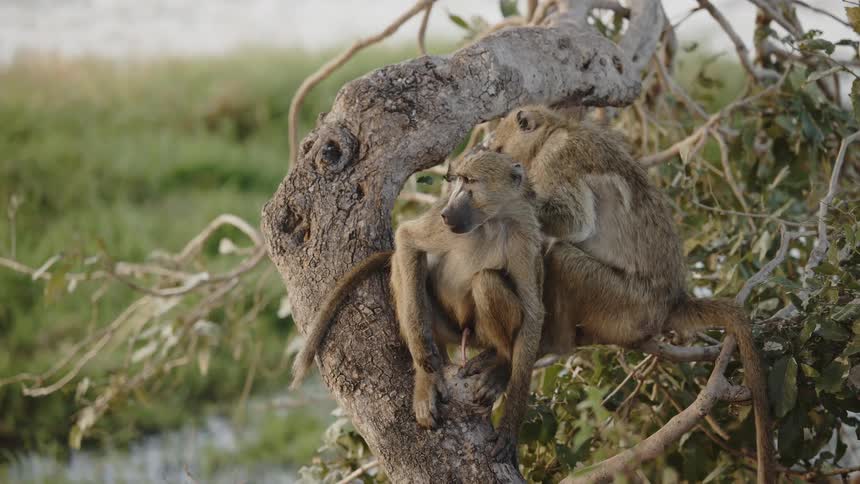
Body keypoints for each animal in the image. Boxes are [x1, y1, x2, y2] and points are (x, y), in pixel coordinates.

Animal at [289, 150, 545, 461]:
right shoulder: (441, 225)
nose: (447, 211)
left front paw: (510, 424)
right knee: (404, 265)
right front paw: (424, 363)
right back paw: (427, 381)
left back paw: (500, 361)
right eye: (458, 180)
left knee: (486, 282)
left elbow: (533, 312)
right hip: (442, 325)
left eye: (470, 182)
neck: (490, 222)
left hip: (476, 334)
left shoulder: (524, 236)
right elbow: (408, 239)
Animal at [486, 105, 775, 483]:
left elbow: (574, 222)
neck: (554, 132)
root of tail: (672, 302)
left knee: (561, 257)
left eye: (499, 151)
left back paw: (548, 343)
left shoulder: (558, 158)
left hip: (626, 304)